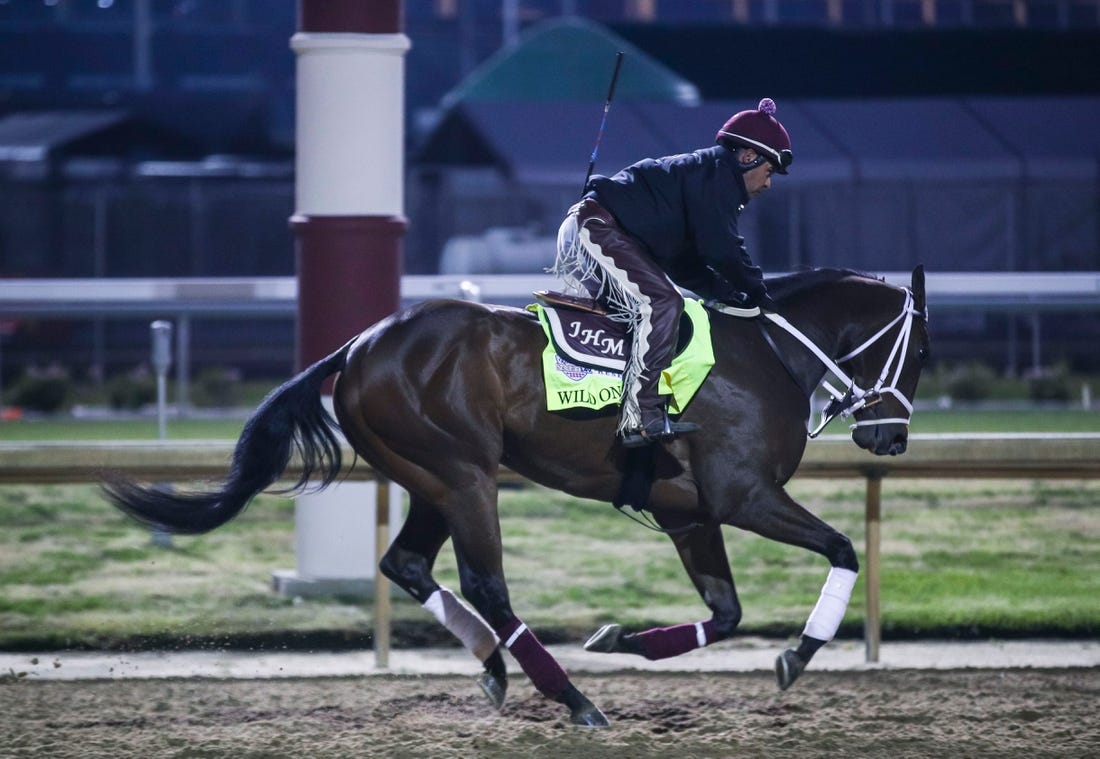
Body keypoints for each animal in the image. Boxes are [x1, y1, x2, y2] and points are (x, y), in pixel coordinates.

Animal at [105, 262, 928, 726]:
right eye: (919, 350)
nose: (889, 438)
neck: (773, 354)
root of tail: (360, 345)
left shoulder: (689, 513)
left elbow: (726, 612)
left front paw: (622, 639)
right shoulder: (741, 494)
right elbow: (843, 548)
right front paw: (800, 651)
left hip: (433, 476)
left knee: (406, 565)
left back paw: (496, 666)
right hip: (466, 475)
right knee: (485, 583)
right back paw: (572, 699)